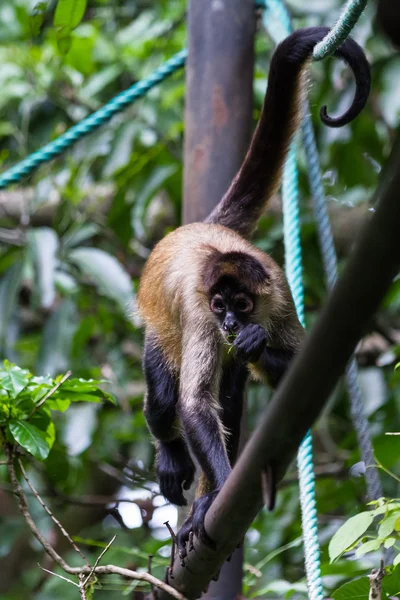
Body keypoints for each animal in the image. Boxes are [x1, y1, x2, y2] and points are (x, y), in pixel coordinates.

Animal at [136, 27, 370, 552]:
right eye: (220, 304)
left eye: (241, 304)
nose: (229, 321)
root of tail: (207, 228)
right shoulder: (199, 314)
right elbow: (192, 405)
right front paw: (218, 491)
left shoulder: (277, 295)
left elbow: (304, 375)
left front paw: (256, 342)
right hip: (159, 331)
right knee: (163, 401)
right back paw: (176, 459)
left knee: (230, 391)